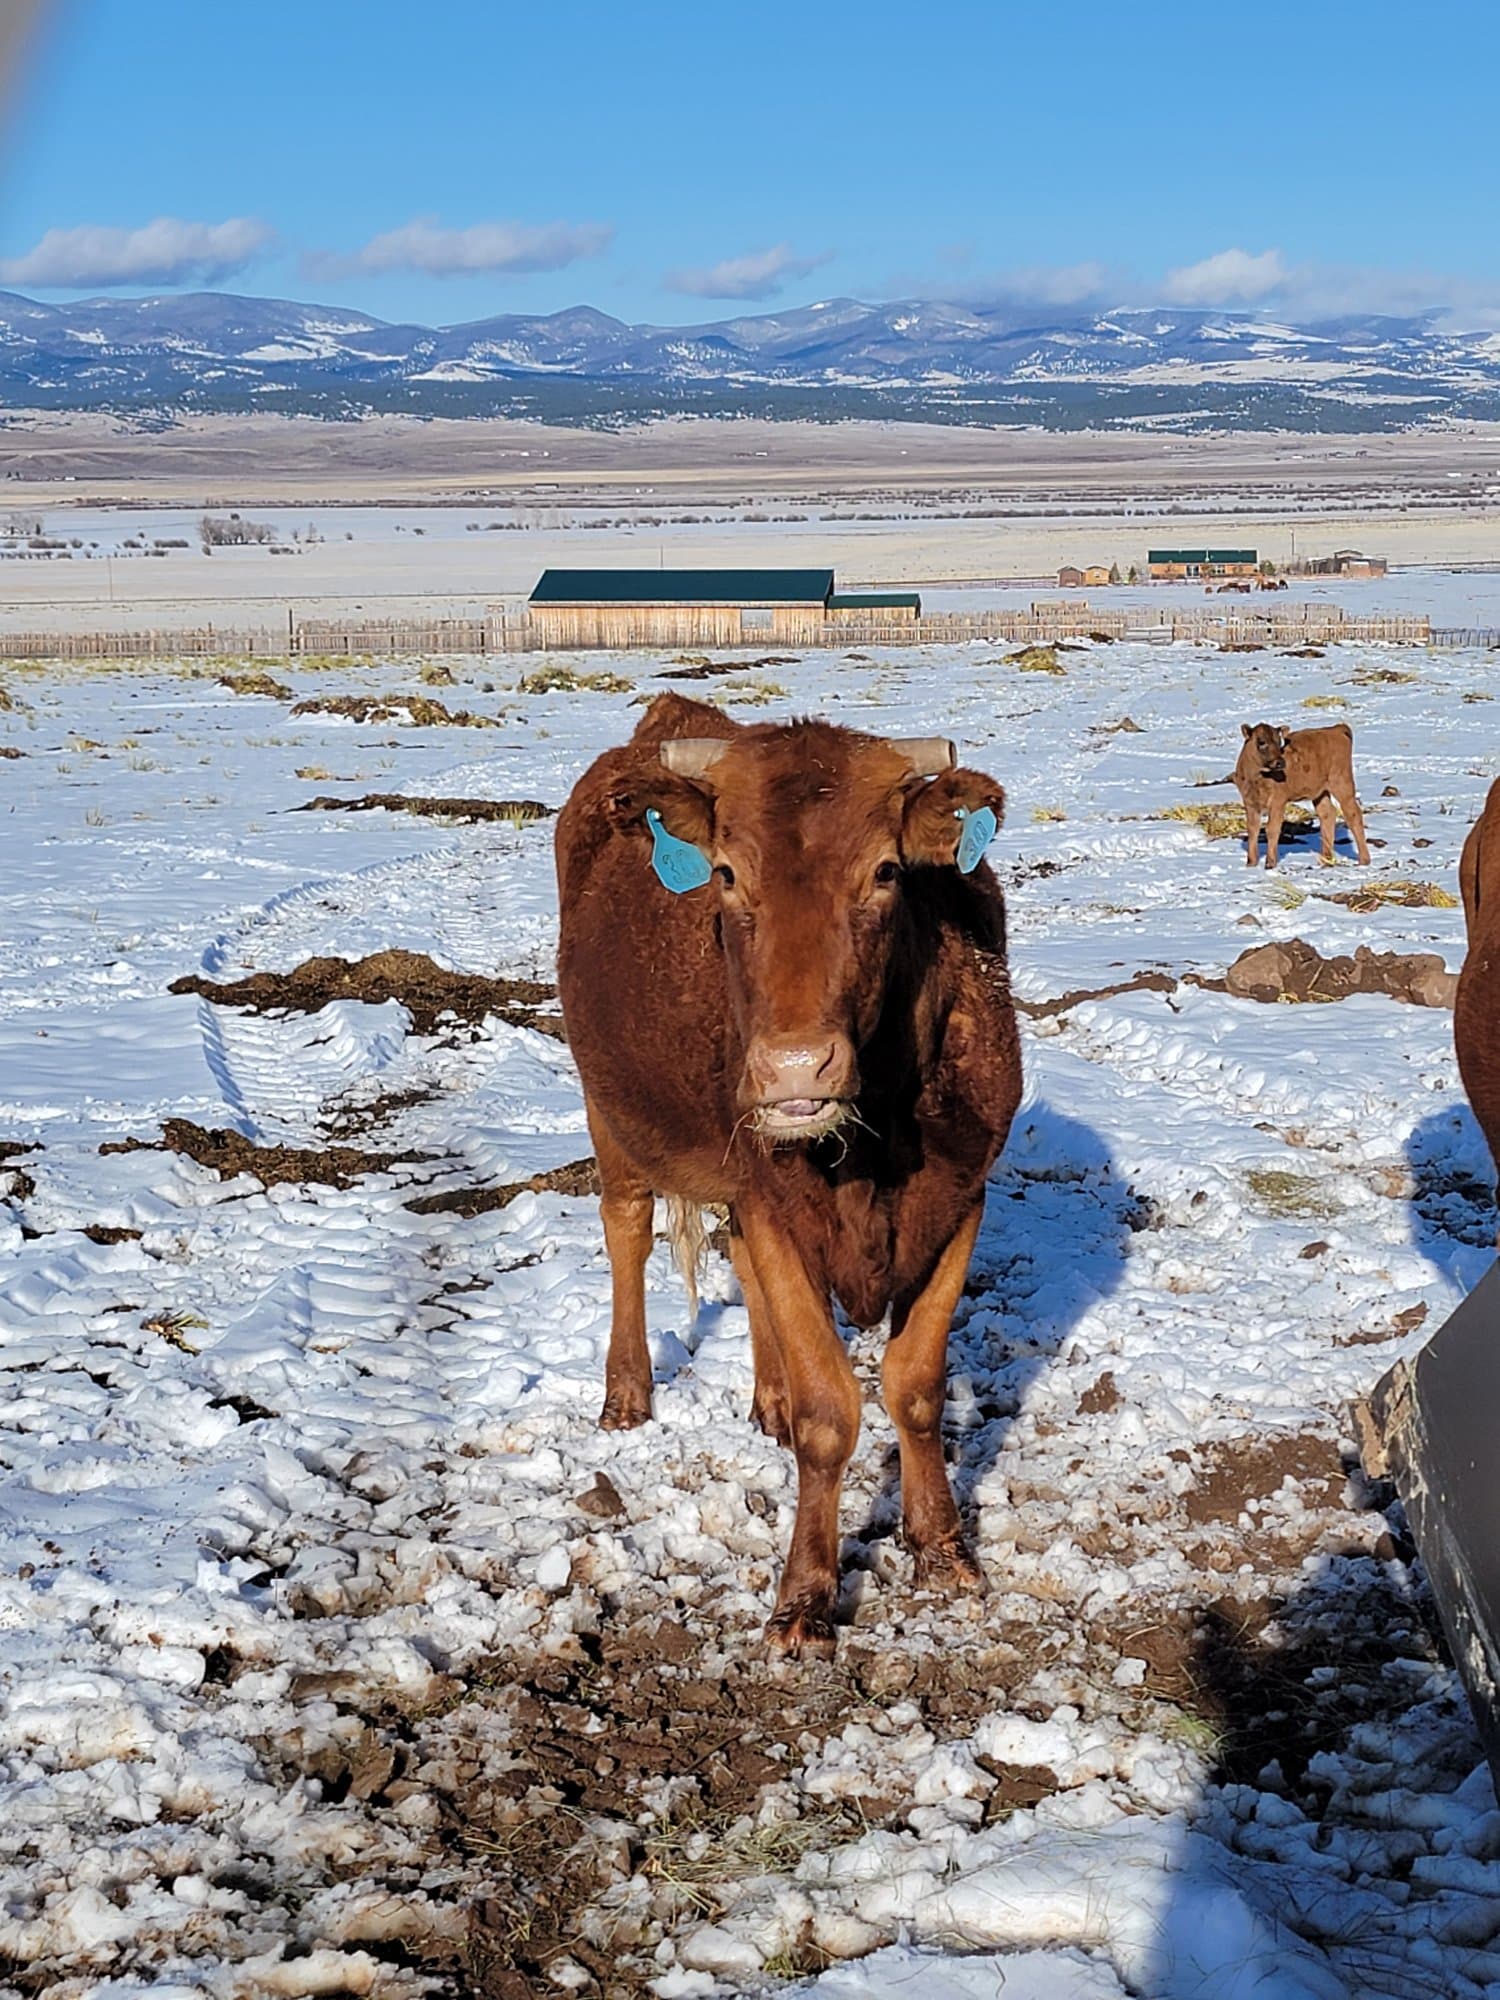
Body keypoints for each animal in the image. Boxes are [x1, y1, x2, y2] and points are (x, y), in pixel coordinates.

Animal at [555, 694, 1021, 1656]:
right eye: (728, 875)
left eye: (886, 871)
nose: (796, 1068)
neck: (869, 1148)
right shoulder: (771, 1199)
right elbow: (828, 1410)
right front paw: (804, 1597)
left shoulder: (963, 1196)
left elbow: (915, 1386)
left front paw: (943, 1549)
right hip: (608, 1108)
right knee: (626, 1228)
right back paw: (627, 1395)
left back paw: (762, 1397)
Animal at [1234, 720, 1371, 870]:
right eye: (1261, 742)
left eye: (1279, 742)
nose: (1280, 762)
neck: (1257, 778)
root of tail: (1337, 728)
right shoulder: (1249, 803)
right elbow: (1253, 829)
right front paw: (1251, 863)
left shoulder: (1278, 802)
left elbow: (1272, 829)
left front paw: (1270, 864)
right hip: (1320, 792)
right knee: (1328, 814)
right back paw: (1325, 860)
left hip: (1342, 784)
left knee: (1353, 814)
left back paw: (1364, 860)